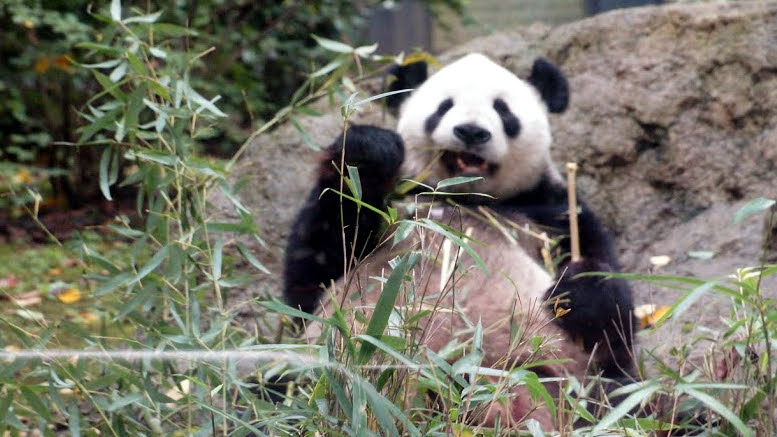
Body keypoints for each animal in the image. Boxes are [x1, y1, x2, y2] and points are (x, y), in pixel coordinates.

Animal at [282, 52, 632, 430]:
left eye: (504, 110)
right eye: (443, 106)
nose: (471, 132)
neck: (466, 197)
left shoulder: (552, 212)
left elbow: (612, 302)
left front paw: (579, 288)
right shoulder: (396, 208)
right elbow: (318, 262)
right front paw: (370, 150)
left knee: (614, 392)